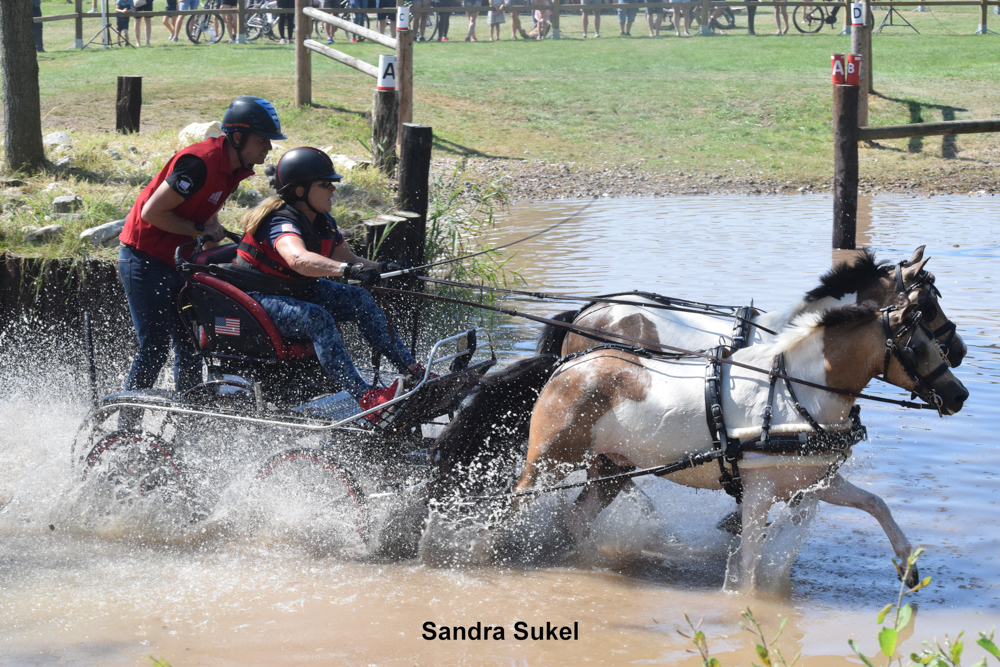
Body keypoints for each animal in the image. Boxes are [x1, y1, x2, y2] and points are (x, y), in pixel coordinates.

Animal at [509, 300, 967, 589]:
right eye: (918, 345)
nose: (959, 394)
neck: (792, 392)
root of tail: (568, 367)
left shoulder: (812, 480)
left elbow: (876, 504)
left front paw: (908, 567)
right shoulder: (759, 491)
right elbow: (748, 560)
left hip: (612, 468)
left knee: (577, 518)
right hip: (547, 463)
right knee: (514, 503)